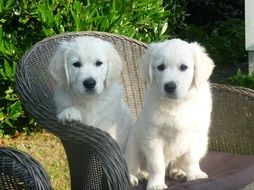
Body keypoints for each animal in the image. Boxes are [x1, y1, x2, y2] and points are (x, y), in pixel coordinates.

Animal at [125, 37, 214, 189]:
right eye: (160, 67)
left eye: (184, 67)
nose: (170, 86)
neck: (177, 104)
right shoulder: (153, 137)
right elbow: (156, 164)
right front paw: (156, 184)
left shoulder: (197, 134)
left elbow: (191, 158)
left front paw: (195, 175)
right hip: (133, 144)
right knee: (133, 164)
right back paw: (135, 177)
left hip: (203, 145)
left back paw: (178, 172)